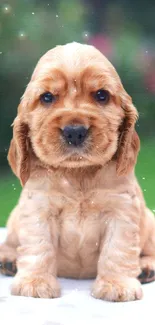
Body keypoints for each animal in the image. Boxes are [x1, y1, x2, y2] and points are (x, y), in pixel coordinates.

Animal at [0, 41, 155, 300]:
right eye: (47, 97)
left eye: (101, 95)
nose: (74, 131)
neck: (78, 173)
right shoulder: (38, 209)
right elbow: (39, 246)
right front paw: (35, 283)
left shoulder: (121, 210)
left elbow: (117, 249)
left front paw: (116, 285)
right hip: (13, 220)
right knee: (11, 242)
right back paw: (9, 259)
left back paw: (146, 268)